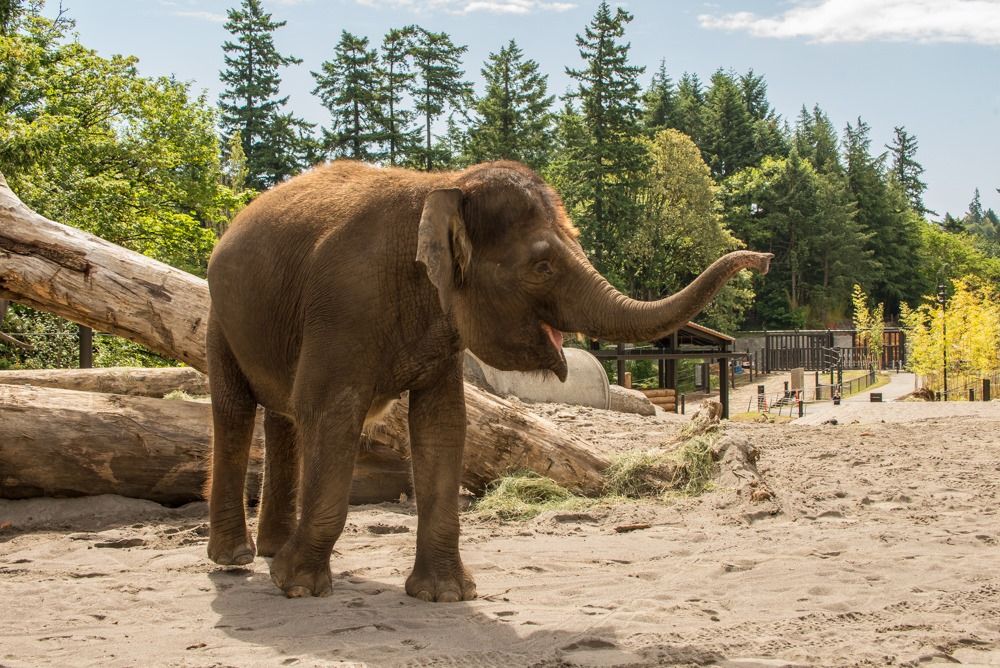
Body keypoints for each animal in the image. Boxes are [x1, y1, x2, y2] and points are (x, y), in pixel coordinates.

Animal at [205, 159, 771, 602]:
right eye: (542, 266)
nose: (763, 259)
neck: (443, 184)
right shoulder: (342, 307)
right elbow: (330, 412)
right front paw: (296, 586)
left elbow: (441, 427)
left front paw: (445, 595)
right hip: (220, 317)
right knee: (235, 411)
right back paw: (236, 558)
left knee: (282, 418)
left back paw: (269, 549)